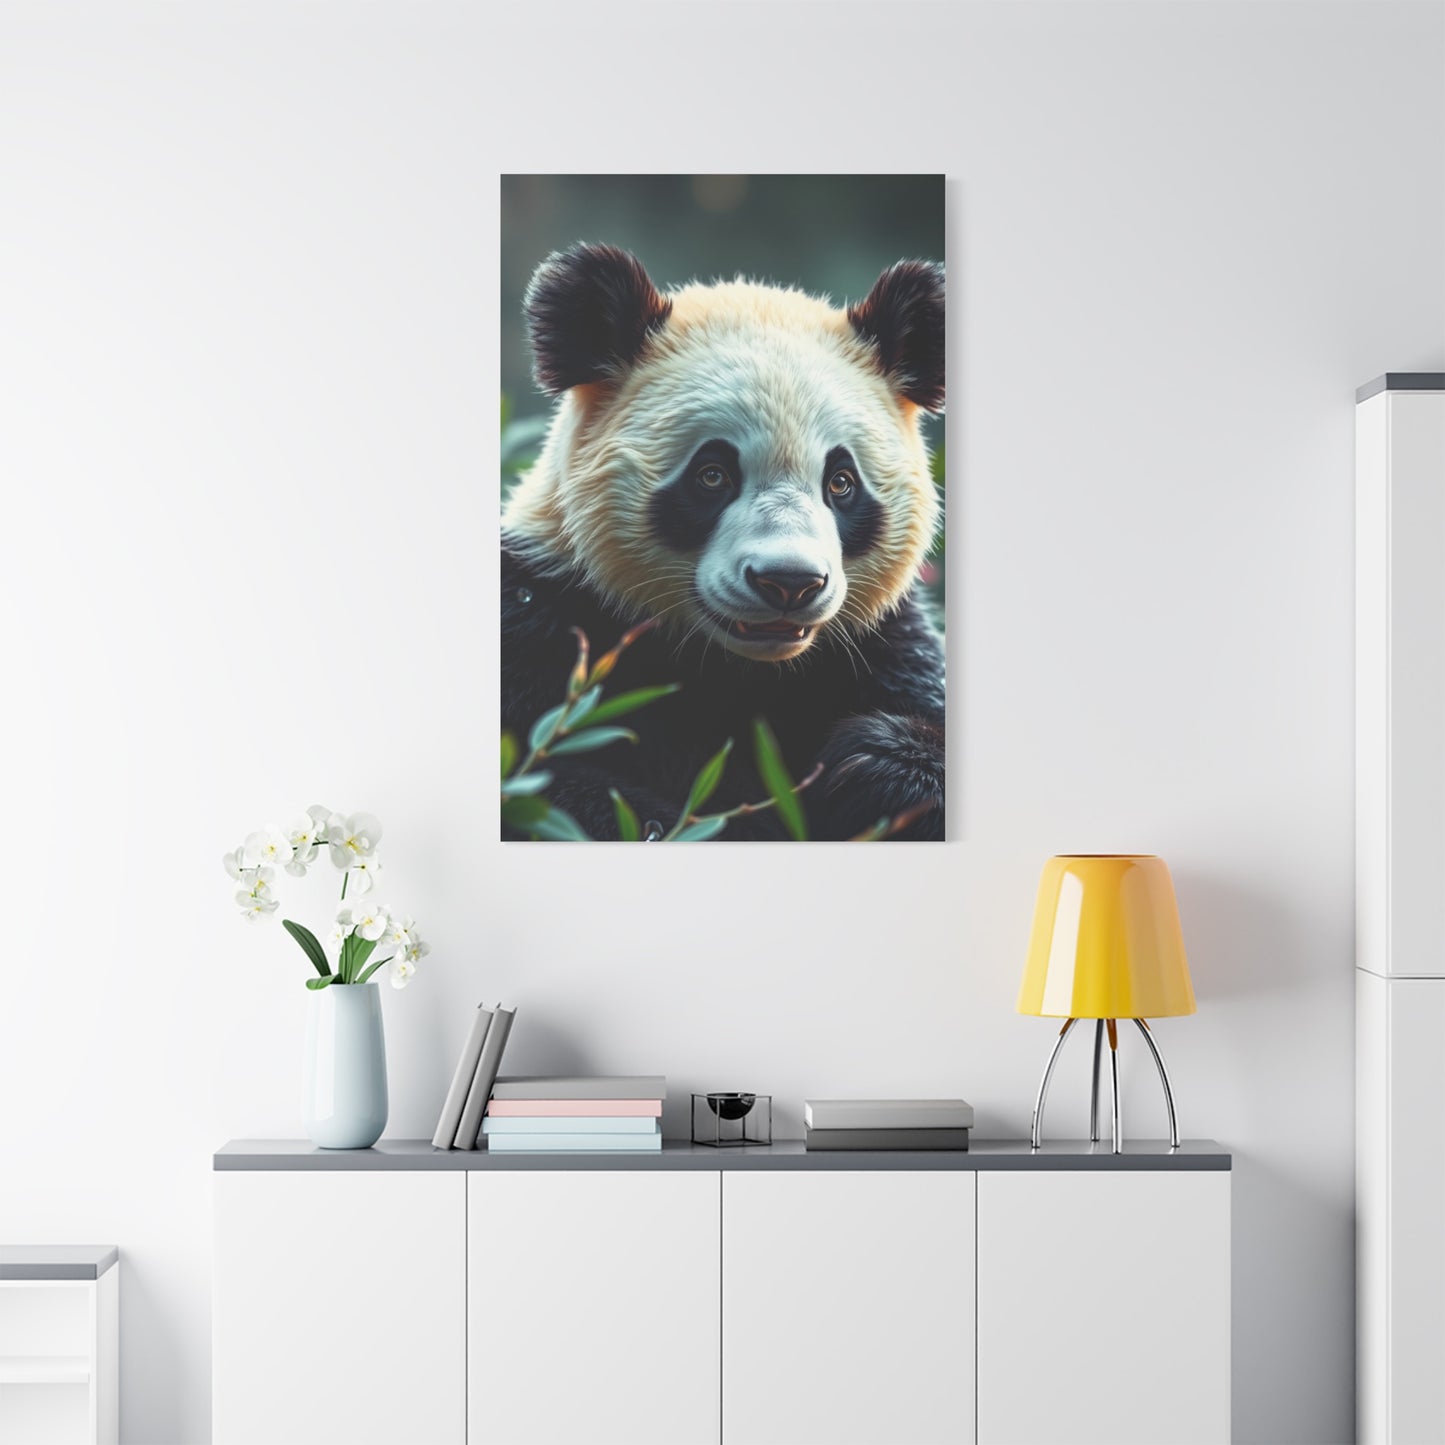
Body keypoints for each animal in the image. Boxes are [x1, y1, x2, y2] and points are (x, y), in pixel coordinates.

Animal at [502, 243, 945, 841]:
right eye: (712, 475)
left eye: (840, 482)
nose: (789, 582)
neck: (739, 666)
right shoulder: (543, 620)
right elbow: (553, 790)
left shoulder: (881, 645)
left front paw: (875, 768)